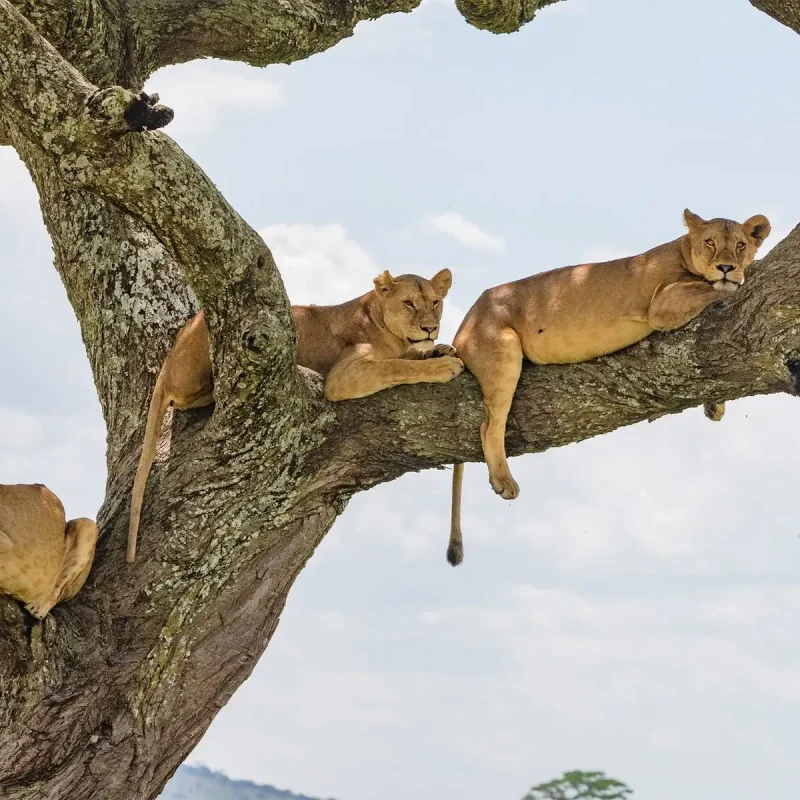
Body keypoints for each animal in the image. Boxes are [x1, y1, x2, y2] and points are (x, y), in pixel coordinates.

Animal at [127, 269, 462, 562]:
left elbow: (411, 356)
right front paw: (442, 365)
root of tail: (169, 361)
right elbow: (396, 366)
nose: (430, 327)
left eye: (435, 302)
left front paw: (441, 349)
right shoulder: (343, 376)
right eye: (408, 303)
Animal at [445, 209, 770, 566]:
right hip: (503, 347)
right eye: (710, 242)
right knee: (490, 425)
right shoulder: (661, 305)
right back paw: (503, 480)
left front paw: (715, 405)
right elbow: (716, 289)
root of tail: (463, 325)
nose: (726, 266)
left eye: (740, 244)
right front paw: (738, 277)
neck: (683, 249)